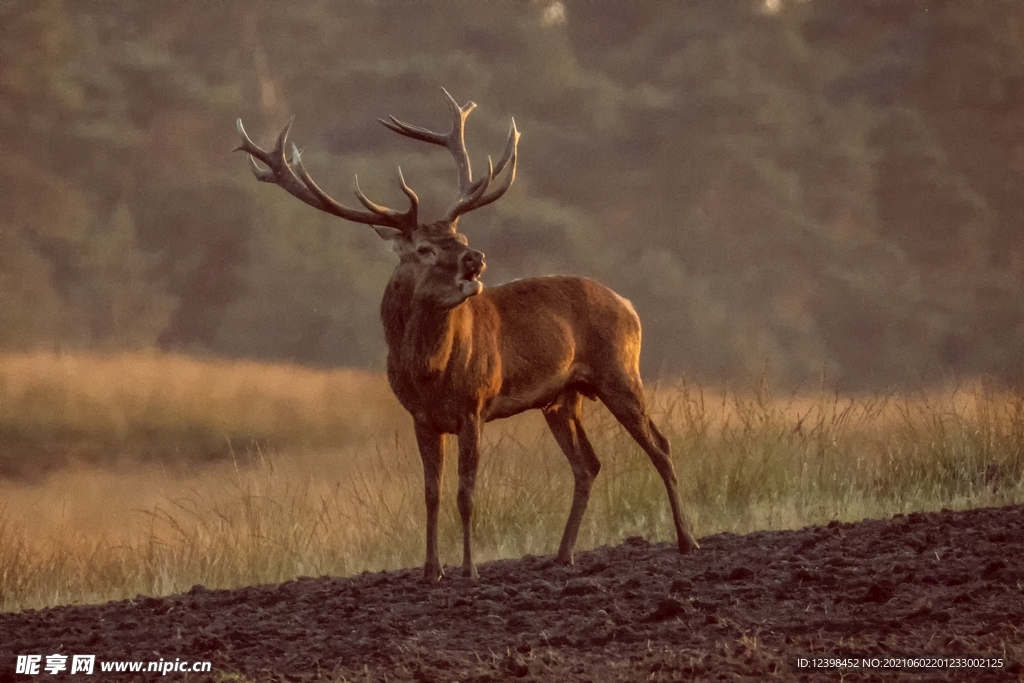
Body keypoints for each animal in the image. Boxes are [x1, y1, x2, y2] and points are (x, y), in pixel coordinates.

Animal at [235, 89, 700, 581]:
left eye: (459, 236)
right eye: (424, 248)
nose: (475, 258)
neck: (428, 371)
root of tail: (629, 305)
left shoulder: (475, 404)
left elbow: (466, 493)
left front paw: (470, 570)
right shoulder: (420, 417)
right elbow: (431, 493)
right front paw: (429, 571)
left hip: (619, 371)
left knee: (660, 445)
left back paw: (688, 541)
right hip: (562, 397)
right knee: (588, 464)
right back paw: (562, 555)